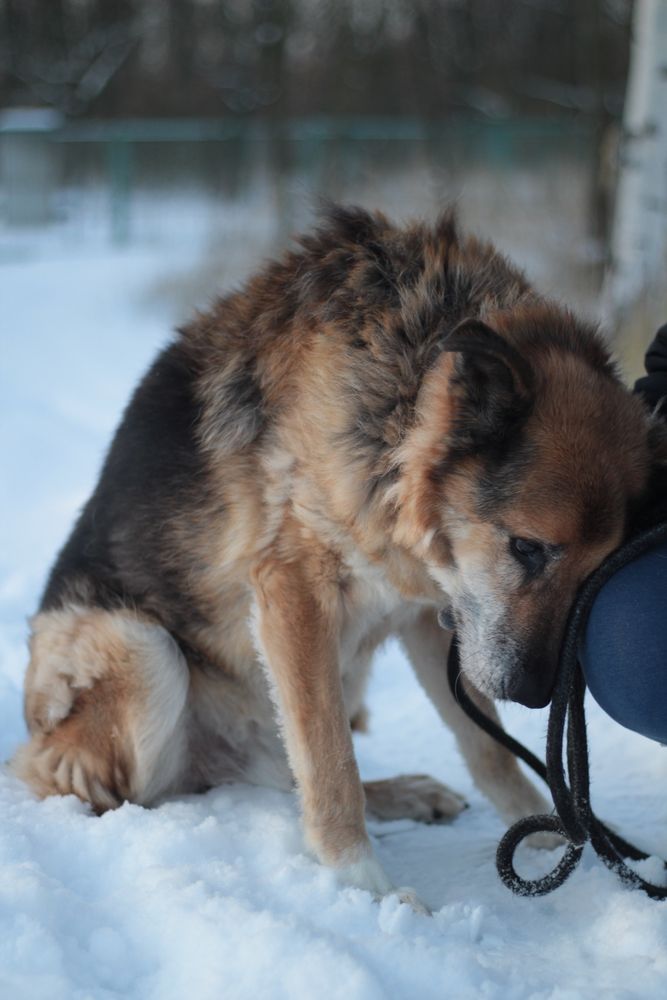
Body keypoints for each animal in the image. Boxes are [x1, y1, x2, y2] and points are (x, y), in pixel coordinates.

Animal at [11, 203, 667, 908]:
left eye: (596, 572)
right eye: (528, 548)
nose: (536, 695)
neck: (403, 392)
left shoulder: (437, 616)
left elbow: (485, 746)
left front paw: (545, 835)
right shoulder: (296, 595)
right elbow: (331, 763)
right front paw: (364, 887)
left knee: (278, 775)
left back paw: (400, 793)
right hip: (142, 649)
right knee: (109, 782)